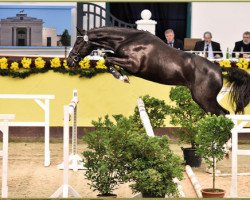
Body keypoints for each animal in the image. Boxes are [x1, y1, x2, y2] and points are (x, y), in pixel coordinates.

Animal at [67, 26, 250, 115]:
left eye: (78, 43)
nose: (69, 61)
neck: (128, 39)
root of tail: (218, 68)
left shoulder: (133, 64)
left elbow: (107, 58)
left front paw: (122, 77)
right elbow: (107, 56)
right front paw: (122, 76)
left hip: (204, 98)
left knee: (221, 113)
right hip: (206, 99)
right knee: (224, 113)